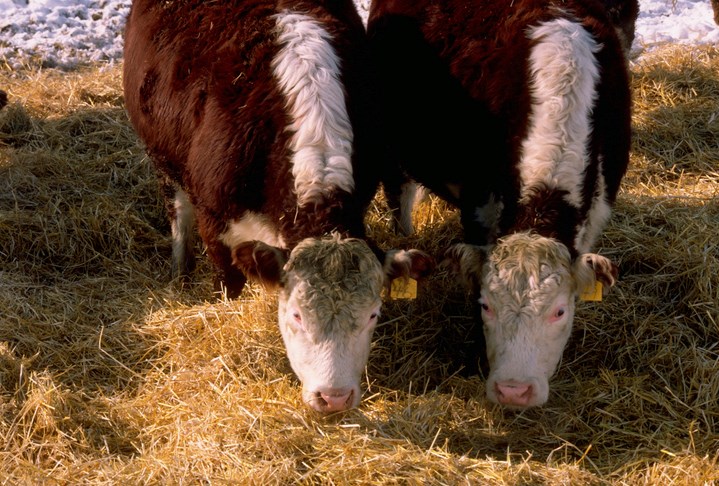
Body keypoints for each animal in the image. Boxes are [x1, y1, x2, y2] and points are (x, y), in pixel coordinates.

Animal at [124, 0, 434, 414]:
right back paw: (180, 267)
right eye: (296, 315)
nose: (334, 398)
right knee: (177, 210)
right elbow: (228, 284)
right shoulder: (215, 223)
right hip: (162, 157)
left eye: (373, 314)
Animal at [368, 0, 632, 408]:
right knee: (400, 195)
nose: (514, 390)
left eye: (559, 311)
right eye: (486, 305)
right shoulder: (479, 205)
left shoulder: (597, 206)